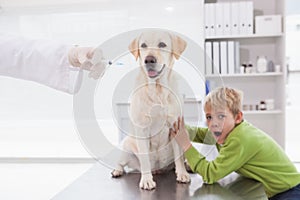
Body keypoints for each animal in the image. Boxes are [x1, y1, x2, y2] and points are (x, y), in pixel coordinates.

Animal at [111, 30, 191, 190]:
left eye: (162, 44)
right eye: (143, 45)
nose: (149, 60)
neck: (157, 90)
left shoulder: (176, 127)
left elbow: (179, 157)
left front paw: (182, 174)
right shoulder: (142, 129)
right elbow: (145, 159)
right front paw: (147, 180)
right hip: (126, 147)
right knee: (121, 162)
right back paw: (117, 170)